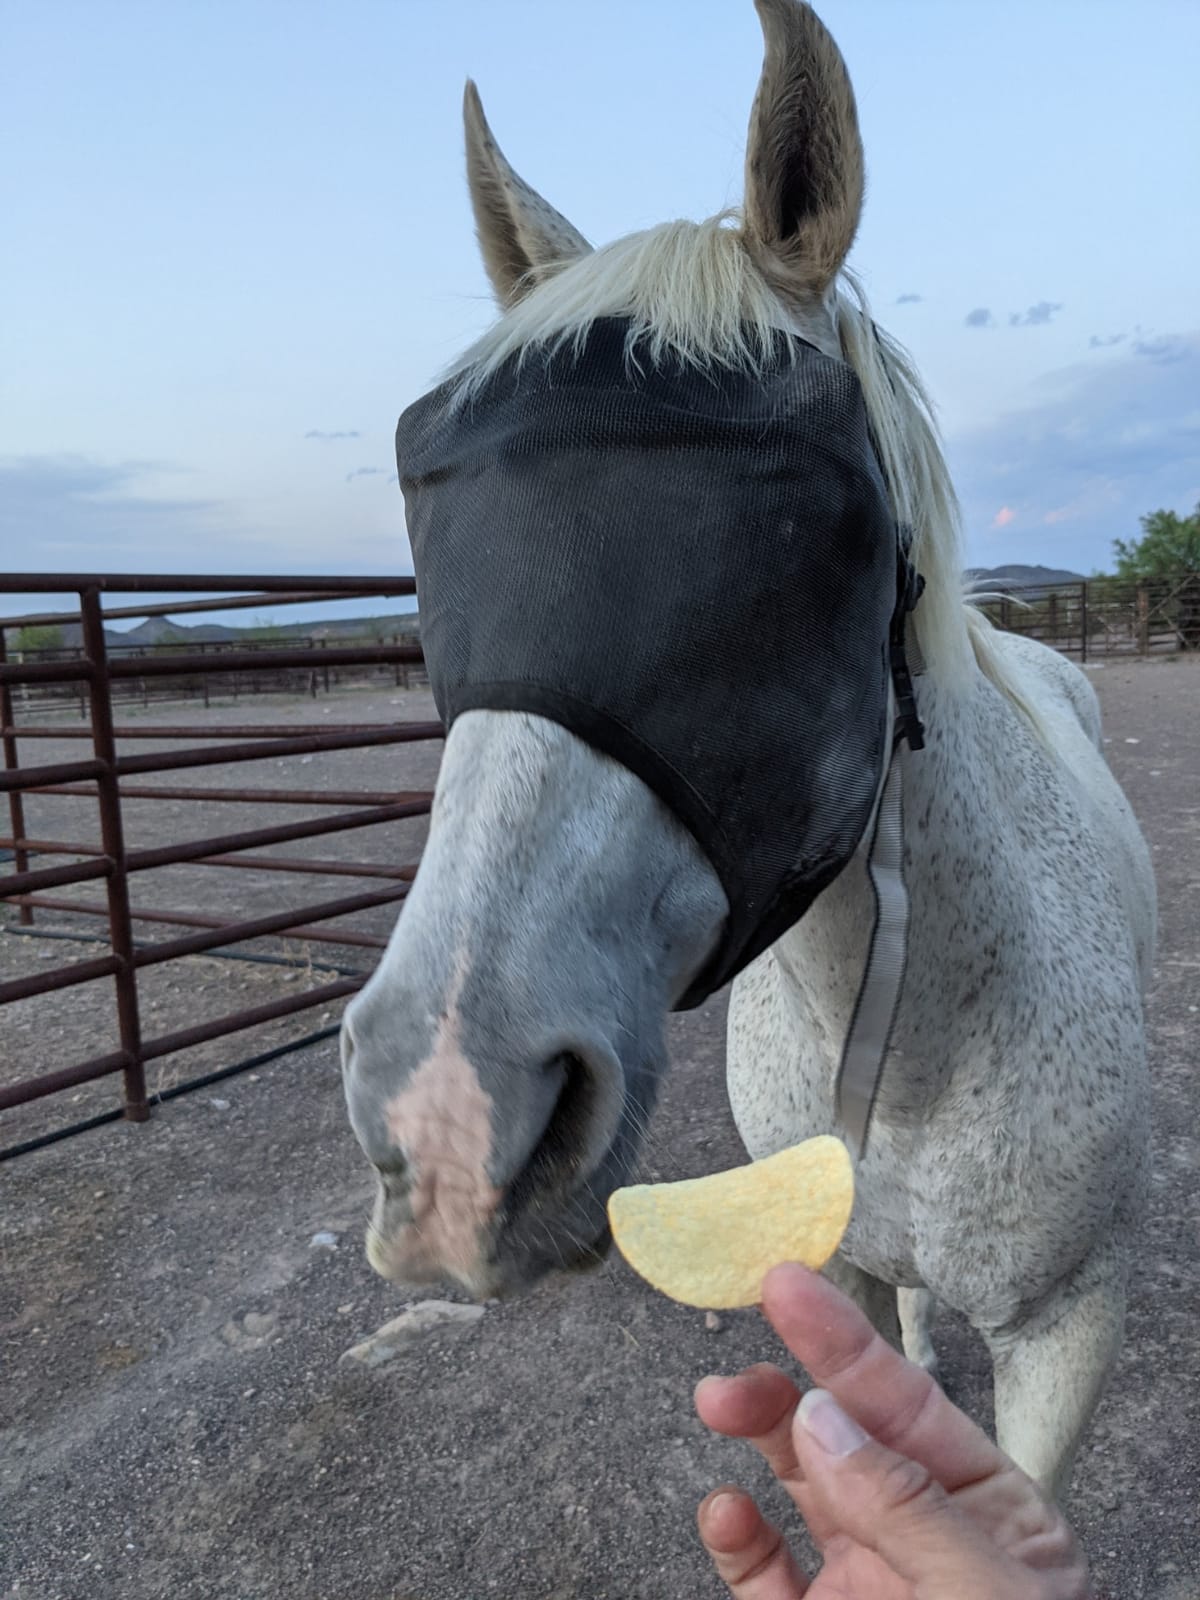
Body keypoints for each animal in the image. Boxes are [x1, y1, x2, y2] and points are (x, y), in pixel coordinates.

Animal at [341, 0, 1155, 1500]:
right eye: (440, 522)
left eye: (781, 541)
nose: (443, 1121)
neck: (915, 1045)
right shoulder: (832, 1283)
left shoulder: (1070, 1334)